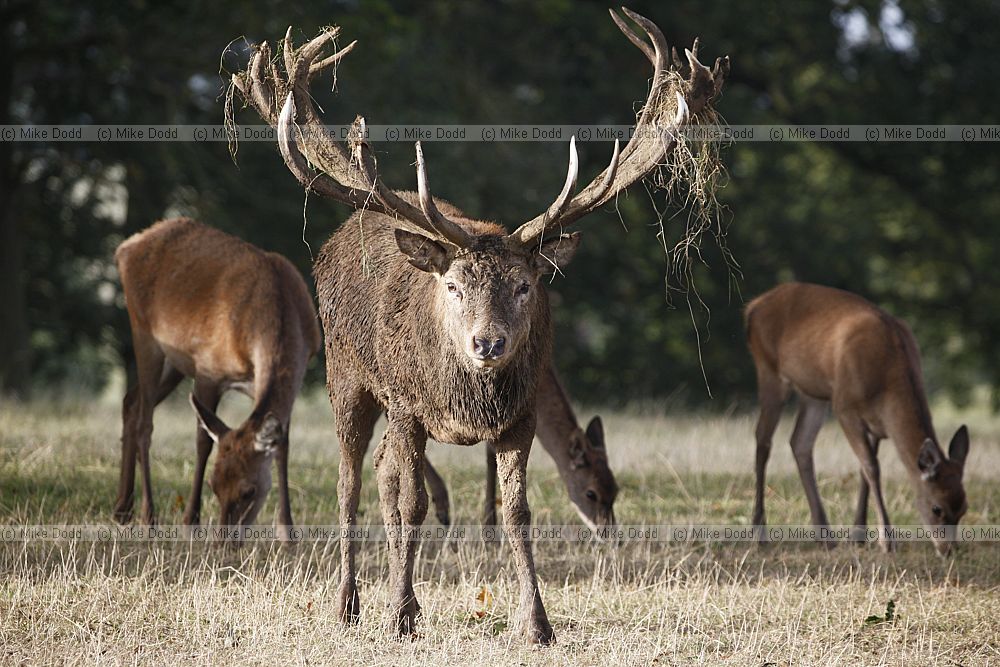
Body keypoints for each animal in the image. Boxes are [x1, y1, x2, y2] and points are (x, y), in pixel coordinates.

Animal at [114, 218, 321, 540]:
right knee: (144, 422)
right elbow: (203, 441)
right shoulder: (208, 368)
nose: (226, 540)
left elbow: (283, 445)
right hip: (144, 333)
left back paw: (122, 508)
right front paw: (190, 522)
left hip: (176, 361)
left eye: (249, 491)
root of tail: (126, 247)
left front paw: (287, 533)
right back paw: (148, 517)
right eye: (214, 485)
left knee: (130, 401)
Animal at [746, 282, 970, 555]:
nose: (949, 550)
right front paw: (887, 540)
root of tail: (753, 306)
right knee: (763, 440)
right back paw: (760, 533)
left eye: (964, 507)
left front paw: (859, 535)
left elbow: (865, 470)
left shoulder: (876, 422)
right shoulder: (845, 407)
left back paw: (825, 536)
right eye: (937, 508)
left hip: (814, 392)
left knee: (799, 442)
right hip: (769, 370)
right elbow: (872, 468)